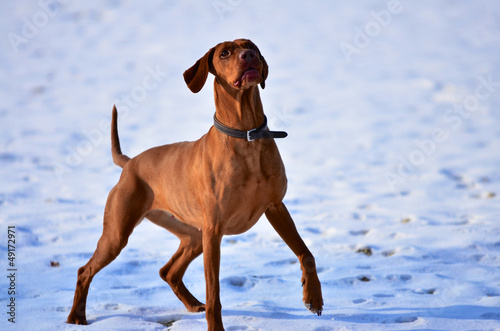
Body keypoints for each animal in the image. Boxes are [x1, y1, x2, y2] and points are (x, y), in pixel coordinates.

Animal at [66, 39, 322, 331]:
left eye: (252, 46)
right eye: (225, 53)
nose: (249, 56)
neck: (246, 136)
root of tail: (130, 163)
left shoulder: (275, 207)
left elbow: (306, 253)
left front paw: (313, 298)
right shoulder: (214, 231)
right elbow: (214, 295)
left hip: (193, 236)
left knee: (168, 271)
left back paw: (191, 304)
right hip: (118, 234)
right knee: (84, 270)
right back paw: (75, 317)